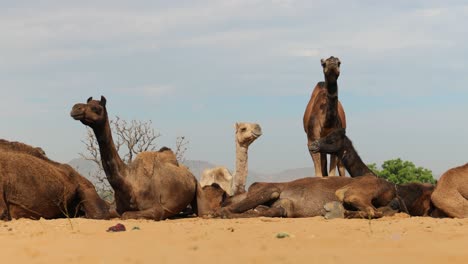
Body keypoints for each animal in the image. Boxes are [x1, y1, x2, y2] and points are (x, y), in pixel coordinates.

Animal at [70, 97, 198, 221]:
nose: (75, 108)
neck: (129, 182)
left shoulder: (156, 209)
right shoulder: (116, 208)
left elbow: (126, 215)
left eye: (96, 108)